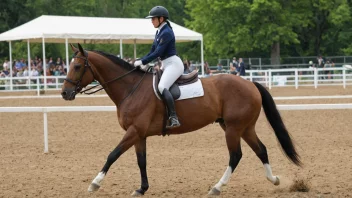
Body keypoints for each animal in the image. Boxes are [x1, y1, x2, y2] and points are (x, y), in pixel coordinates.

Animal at [61, 43, 302, 196]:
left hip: (234, 129)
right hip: (243, 127)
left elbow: (112, 155)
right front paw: (142, 188)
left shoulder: (133, 131)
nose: (65, 93)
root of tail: (250, 83)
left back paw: (217, 187)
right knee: (261, 150)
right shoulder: (139, 134)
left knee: (236, 155)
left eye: (77, 66)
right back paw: (274, 180)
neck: (130, 88)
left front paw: (95, 183)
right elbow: (141, 161)